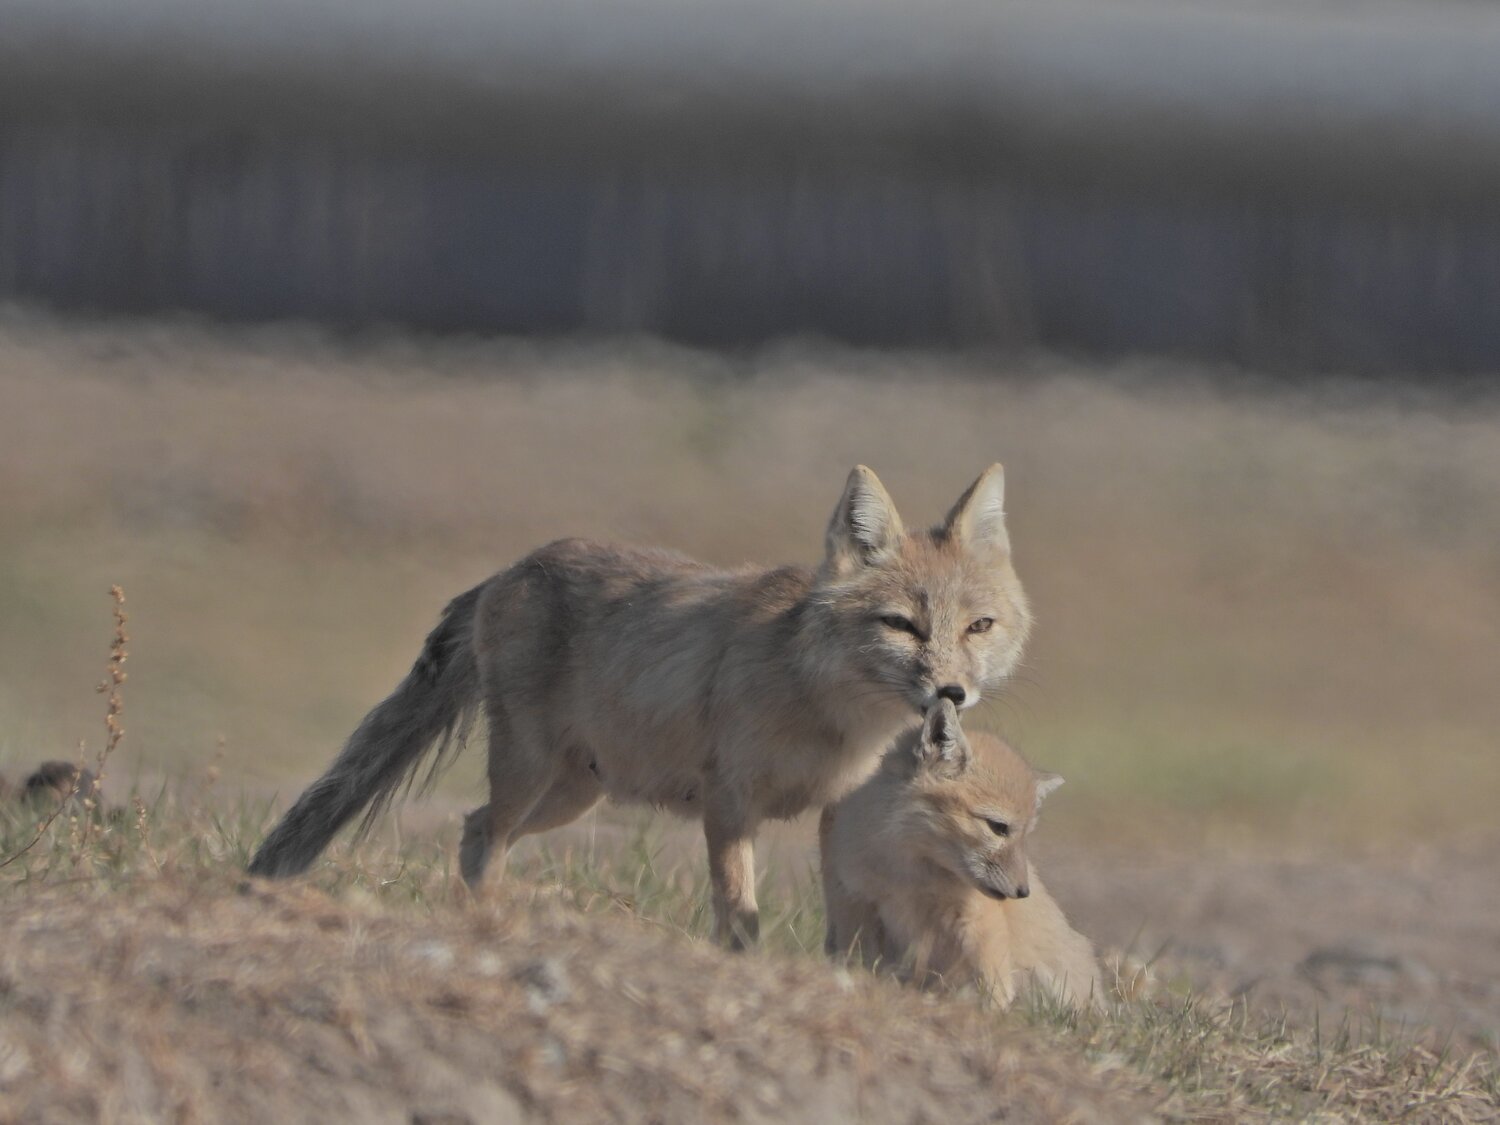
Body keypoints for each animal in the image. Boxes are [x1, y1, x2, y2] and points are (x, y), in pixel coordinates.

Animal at [247, 464, 1031, 948]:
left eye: (979, 627)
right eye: (901, 625)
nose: (952, 692)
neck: (826, 706)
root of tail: (512, 567)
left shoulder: (830, 808)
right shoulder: (728, 802)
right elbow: (738, 913)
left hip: (570, 797)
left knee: (475, 828)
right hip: (530, 775)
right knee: (481, 836)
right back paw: (487, 918)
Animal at [821, 699, 1100, 1007]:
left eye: (1026, 836)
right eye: (998, 827)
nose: (1022, 892)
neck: (910, 877)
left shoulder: (978, 919)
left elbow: (993, 984)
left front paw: (995, 1012)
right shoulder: (856, 902)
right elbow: (857, 961)